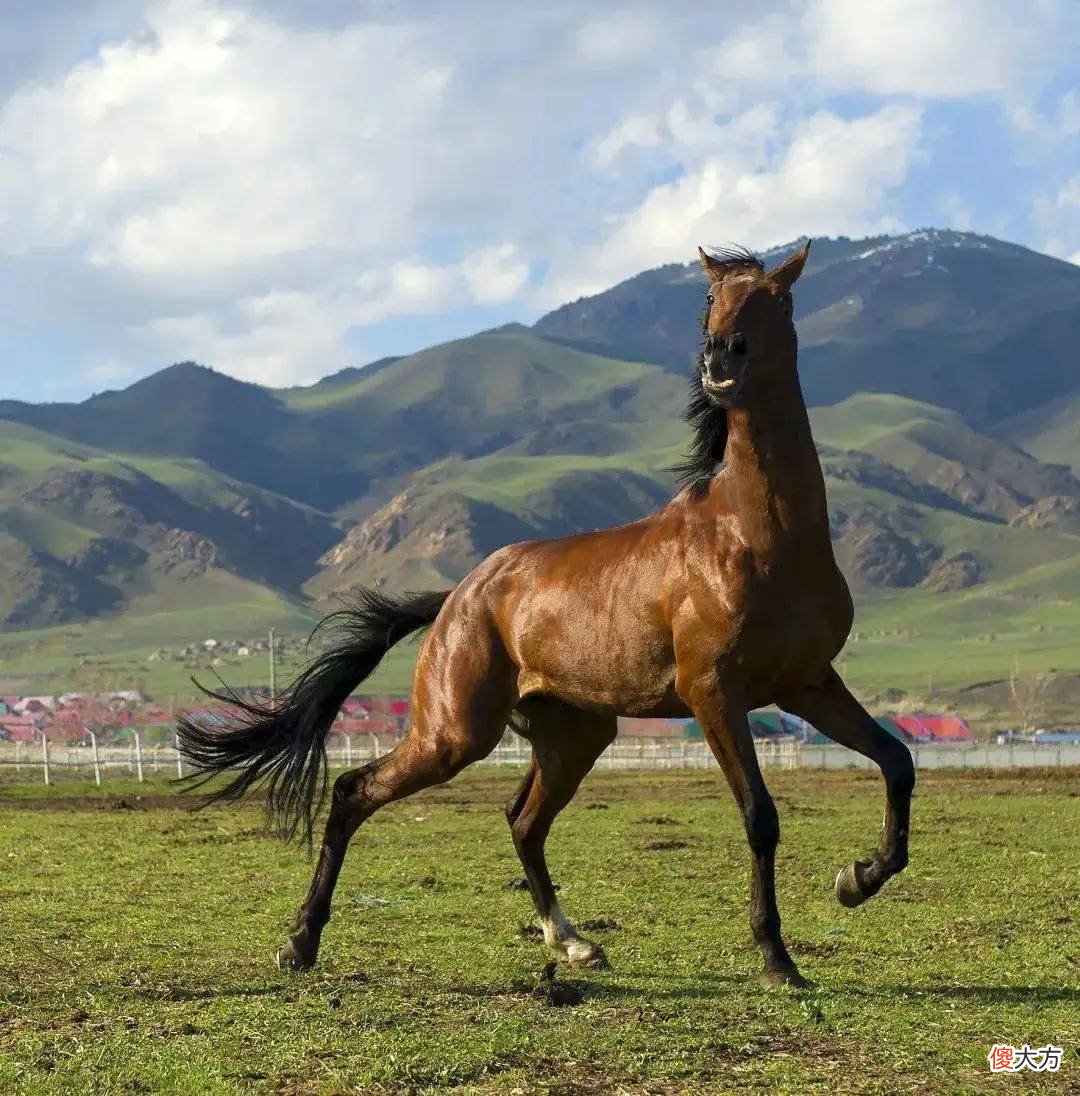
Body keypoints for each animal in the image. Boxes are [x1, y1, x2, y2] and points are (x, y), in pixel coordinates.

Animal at [178, 240, 914, 988]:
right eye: (712, 299)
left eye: (778, 297)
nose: (719, 359)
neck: (759, 534)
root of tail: (458, 597)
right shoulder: (714, 692)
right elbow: (760, 816)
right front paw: (776, 957)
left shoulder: (806, 682)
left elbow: (898, 761)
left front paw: (859, 879)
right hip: (454, 734)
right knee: (357, 790)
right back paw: (300, 941)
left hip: (573, 735)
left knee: (522, 820)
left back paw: (573, 942)